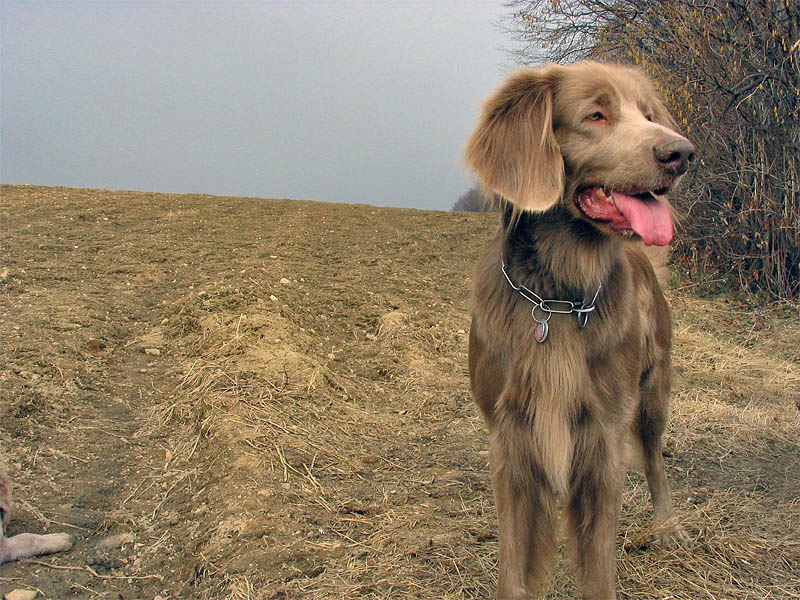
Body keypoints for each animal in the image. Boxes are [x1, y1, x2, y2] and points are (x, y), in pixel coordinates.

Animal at [465, 61, 694, 599]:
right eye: (596, 115)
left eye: (647, 115)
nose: (681, 153)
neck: (559, 299)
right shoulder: (511, 440)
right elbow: (515, 566)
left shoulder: (601, 439)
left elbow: (597, 566)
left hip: (652, 391)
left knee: (655, 459)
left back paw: (667, 527)